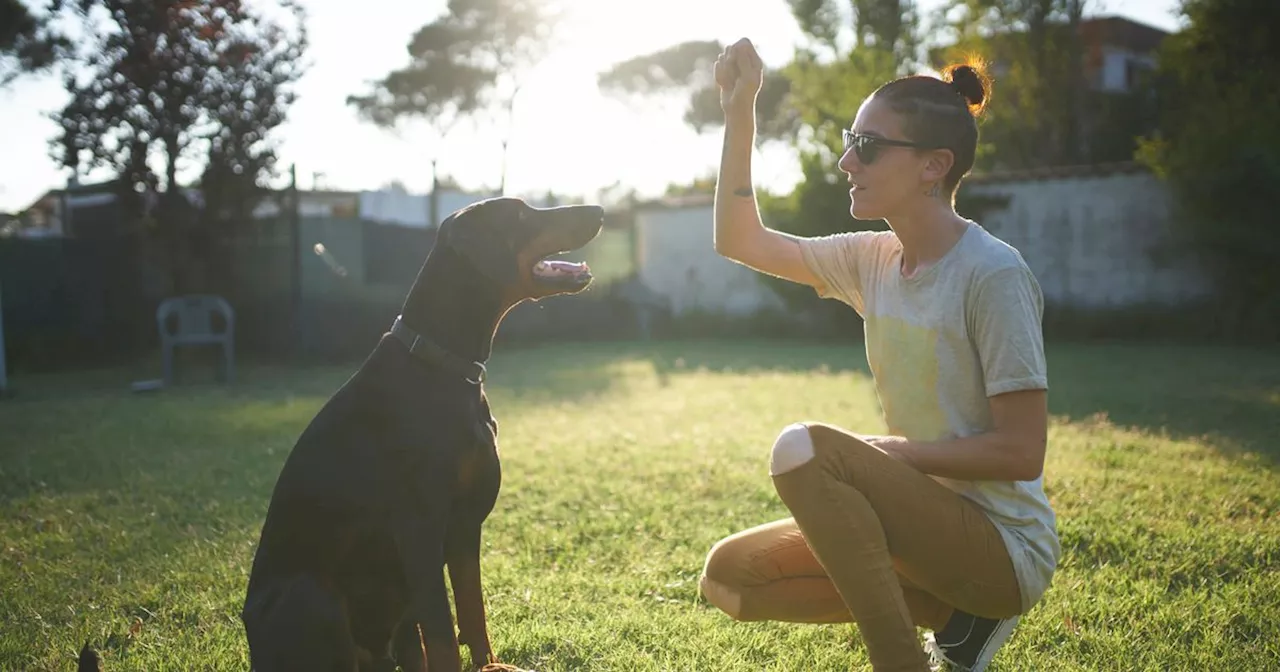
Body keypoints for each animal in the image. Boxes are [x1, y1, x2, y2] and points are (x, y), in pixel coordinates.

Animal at [240, 198, 604, 670]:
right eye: (522, 215)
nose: (599, 210)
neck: (442, 364)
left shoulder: (465, 527)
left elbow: (472, 611)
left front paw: (489, 665)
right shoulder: (419, 528)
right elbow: (443, 630)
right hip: (311, 595)